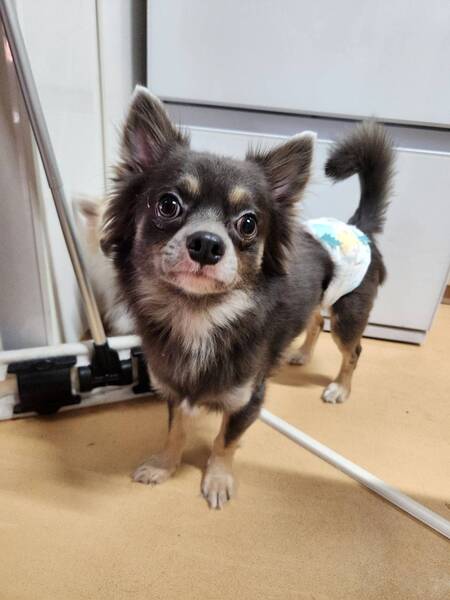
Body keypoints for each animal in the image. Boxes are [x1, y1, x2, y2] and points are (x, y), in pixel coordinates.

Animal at [101, 86, 394, 508]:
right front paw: (163, 466)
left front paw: (218, 480)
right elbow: (175, 430)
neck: (200, 316)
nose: (207, 244)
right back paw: (299, 354)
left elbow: (225, 440)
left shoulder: (247, 399)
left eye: (248, 223)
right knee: (313, 320)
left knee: (352, 350)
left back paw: (340, 387)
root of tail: (357, 227)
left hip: (347, 313)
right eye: (168, 204)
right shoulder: (175, 388)